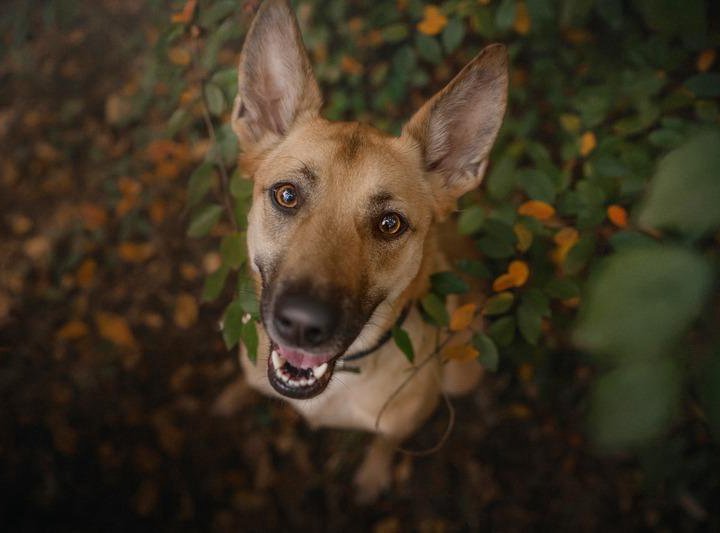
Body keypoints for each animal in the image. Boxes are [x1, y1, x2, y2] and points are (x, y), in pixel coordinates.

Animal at [229, 0, 506, 500]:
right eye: (286, 195)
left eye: (389, 224)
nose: (303, 325)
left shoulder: (400, 425)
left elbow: (384, 445)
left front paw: (372, 477)